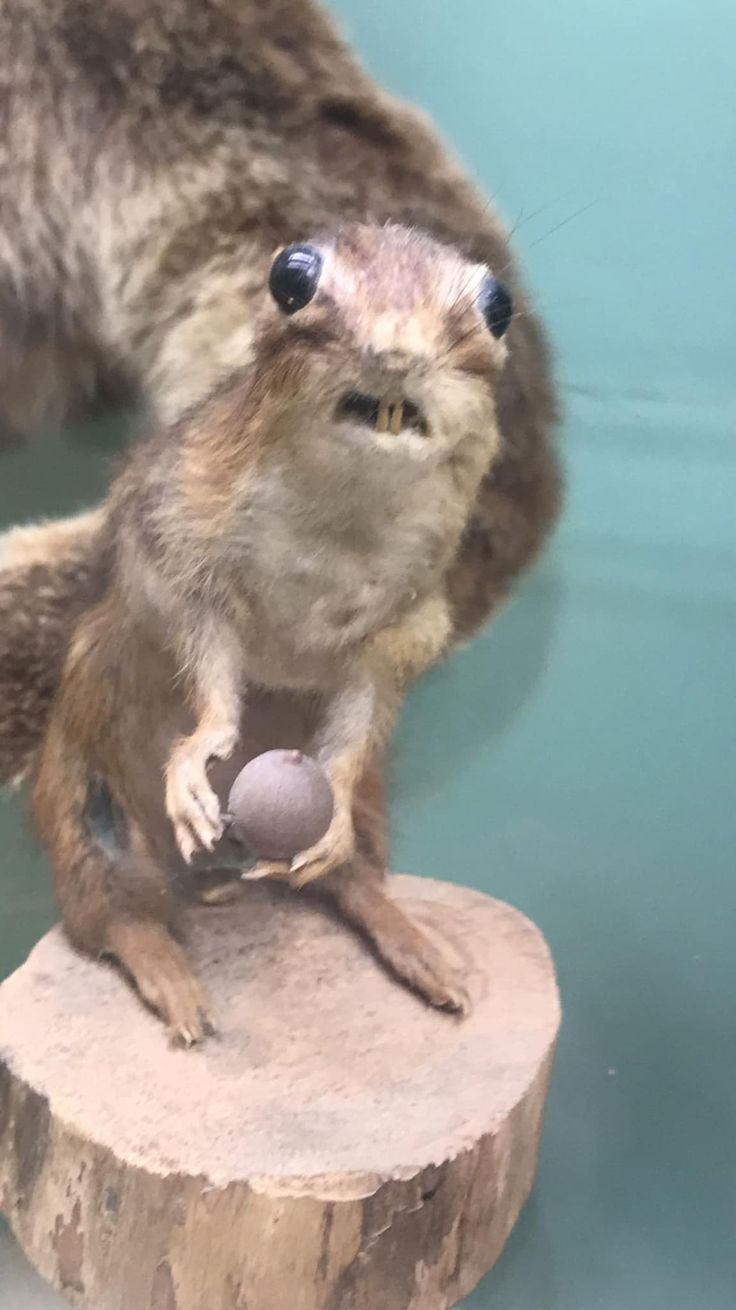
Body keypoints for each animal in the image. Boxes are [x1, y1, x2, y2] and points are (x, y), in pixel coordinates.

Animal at [0, 2, 560, 1042]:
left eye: (496, 301)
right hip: (83, 803)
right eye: (293, 275)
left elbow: (360, 710)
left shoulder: (407, 627)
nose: (394, 349)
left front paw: (320, 807)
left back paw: (420, 951)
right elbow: (207, 660)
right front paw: (198, 759)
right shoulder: (179, 546)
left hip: (372, 807)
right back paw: (179, 986)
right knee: (112, 915)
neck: (325, 565)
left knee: (352, 873)